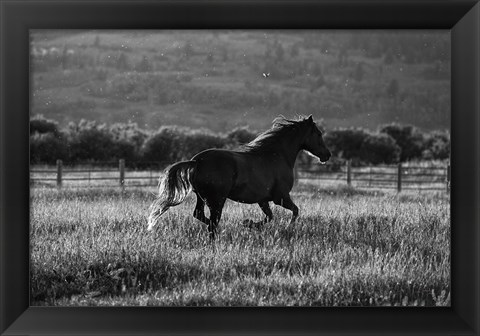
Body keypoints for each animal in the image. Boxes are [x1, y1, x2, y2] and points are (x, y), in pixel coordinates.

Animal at [147, 114, 330, 240]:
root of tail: (196, 161)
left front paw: (249, 224)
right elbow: (295, 211)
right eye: (319, 133)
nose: (327, 155)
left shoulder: (263, 199)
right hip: (217, 200)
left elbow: (269, 217)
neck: (276, 155)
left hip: (202, 197)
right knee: (212, 223)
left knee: (200, 215)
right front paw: (286, 228)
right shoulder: (281, 197)